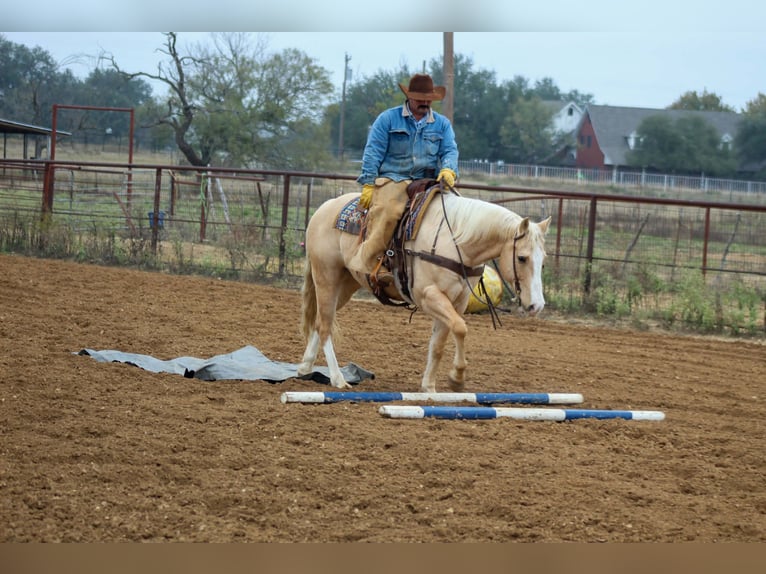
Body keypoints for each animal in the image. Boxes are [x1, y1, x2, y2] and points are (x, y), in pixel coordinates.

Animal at [297, 187, 551, 393]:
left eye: (544, 261)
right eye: (522, 257)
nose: (536, 305)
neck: (456, 241)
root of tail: (324, 208)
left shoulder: (456, 301)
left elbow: (439, 343)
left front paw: (429, 388)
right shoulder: (430, 296)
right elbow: (460, 328)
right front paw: (457, 378)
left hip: (347, 283)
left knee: (321, 321)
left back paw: (305, 366)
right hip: (326, 277)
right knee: (325, 324)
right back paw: (337, 379)